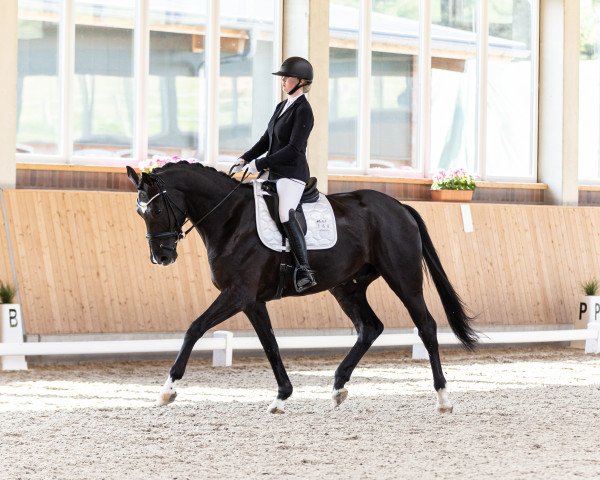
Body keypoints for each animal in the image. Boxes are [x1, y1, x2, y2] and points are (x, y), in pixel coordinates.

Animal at [126, 161, 478, 412]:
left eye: (156, 209)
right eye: (140, 212)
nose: (161, 257)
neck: (230, 219)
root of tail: (400, 206)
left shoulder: (237, 294)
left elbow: (195, 328)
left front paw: (168, 389)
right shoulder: (251, 301)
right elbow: (270, 344)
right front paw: (282, 395)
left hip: (402, 278)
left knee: (426, 325)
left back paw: (443, 398)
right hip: (346, 286)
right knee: (370, 327)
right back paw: (338, 387)